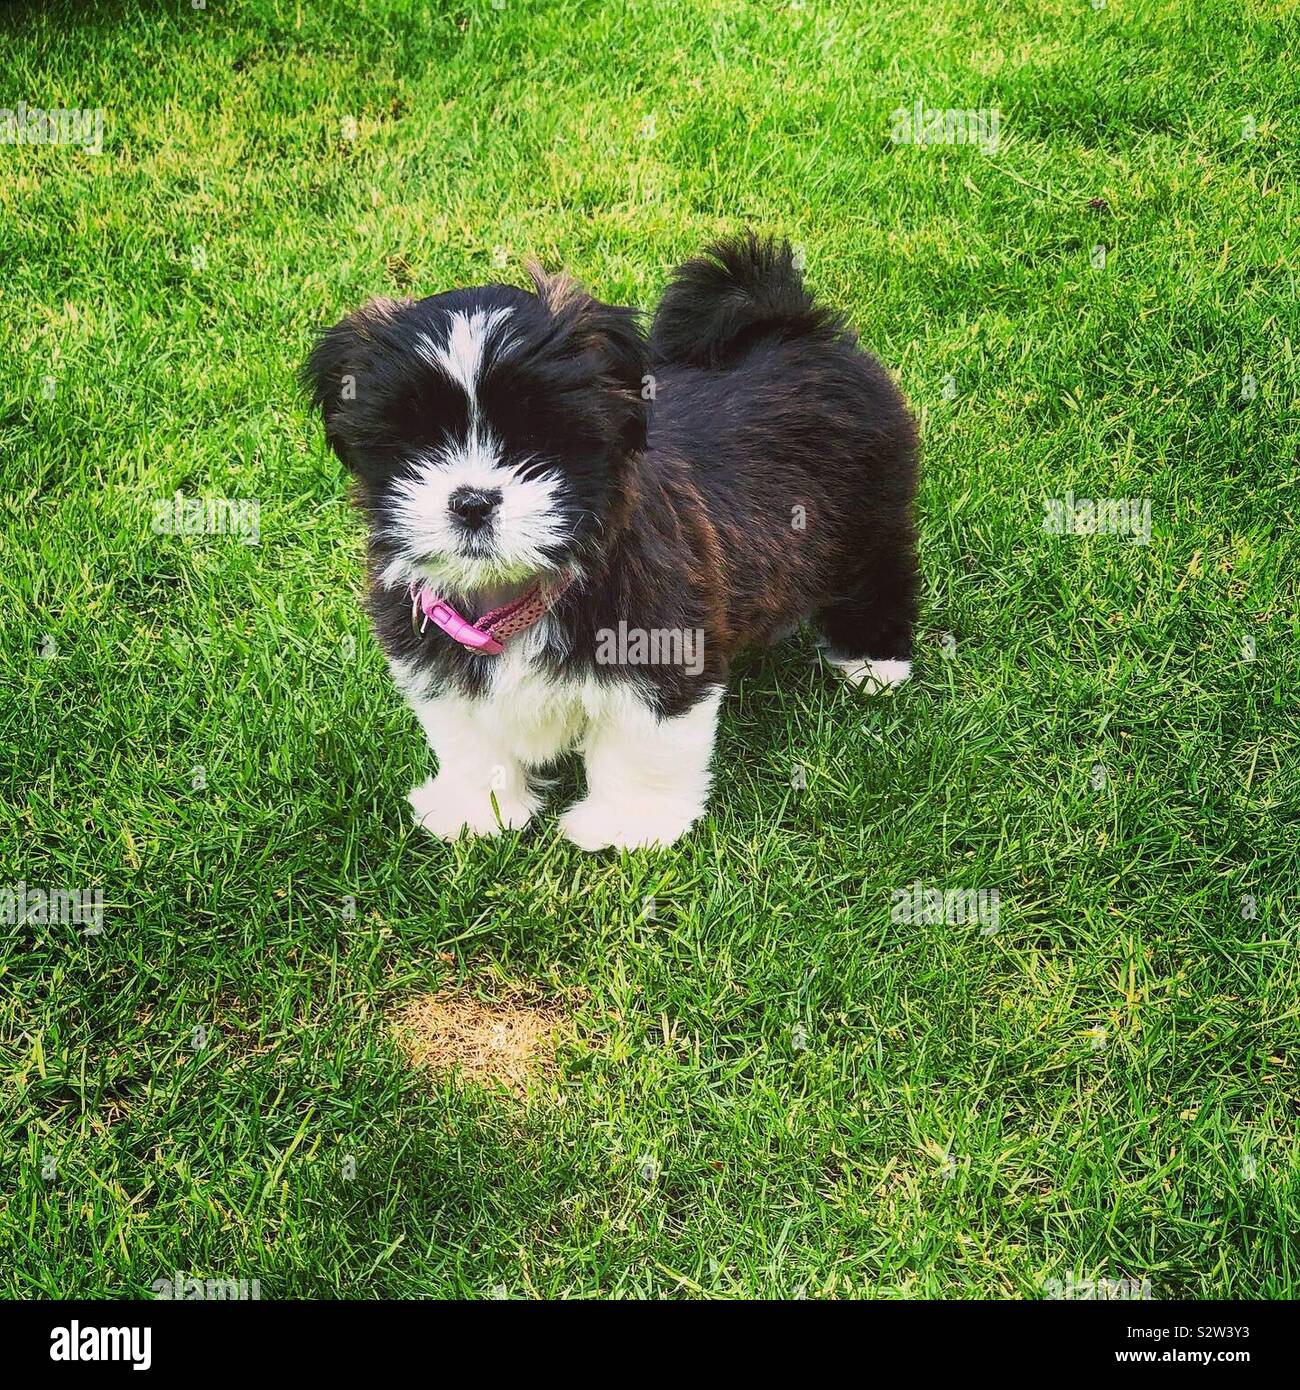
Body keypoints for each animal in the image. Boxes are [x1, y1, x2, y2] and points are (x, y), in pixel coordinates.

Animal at [303, 234, 917, 850]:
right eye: (418, 443)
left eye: (536, 436)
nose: (472, 501)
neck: (519, 591)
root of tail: (789, 326)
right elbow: (469, 734)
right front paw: (480, 807)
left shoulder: (656, 642)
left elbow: (640, 743)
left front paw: (626, 824)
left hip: (867, 514)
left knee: (878, 576)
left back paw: (874, 663)